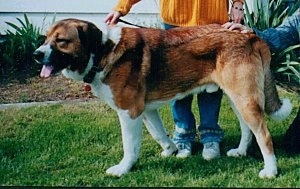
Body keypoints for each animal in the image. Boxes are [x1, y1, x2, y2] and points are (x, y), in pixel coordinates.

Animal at [32, 18, 290, 178]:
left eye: (61, 41)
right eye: (45, 38)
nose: (36, 54)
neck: (103, 51)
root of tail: (250, 36)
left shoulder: (128, 112)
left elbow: (130, 145)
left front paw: (123, 168)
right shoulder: (145, 110)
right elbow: (158, 133)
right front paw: (172, 150)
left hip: (244, 99)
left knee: (264, 135)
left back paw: (271, 171)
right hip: (238, 98)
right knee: (248, 129)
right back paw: (241, 152)